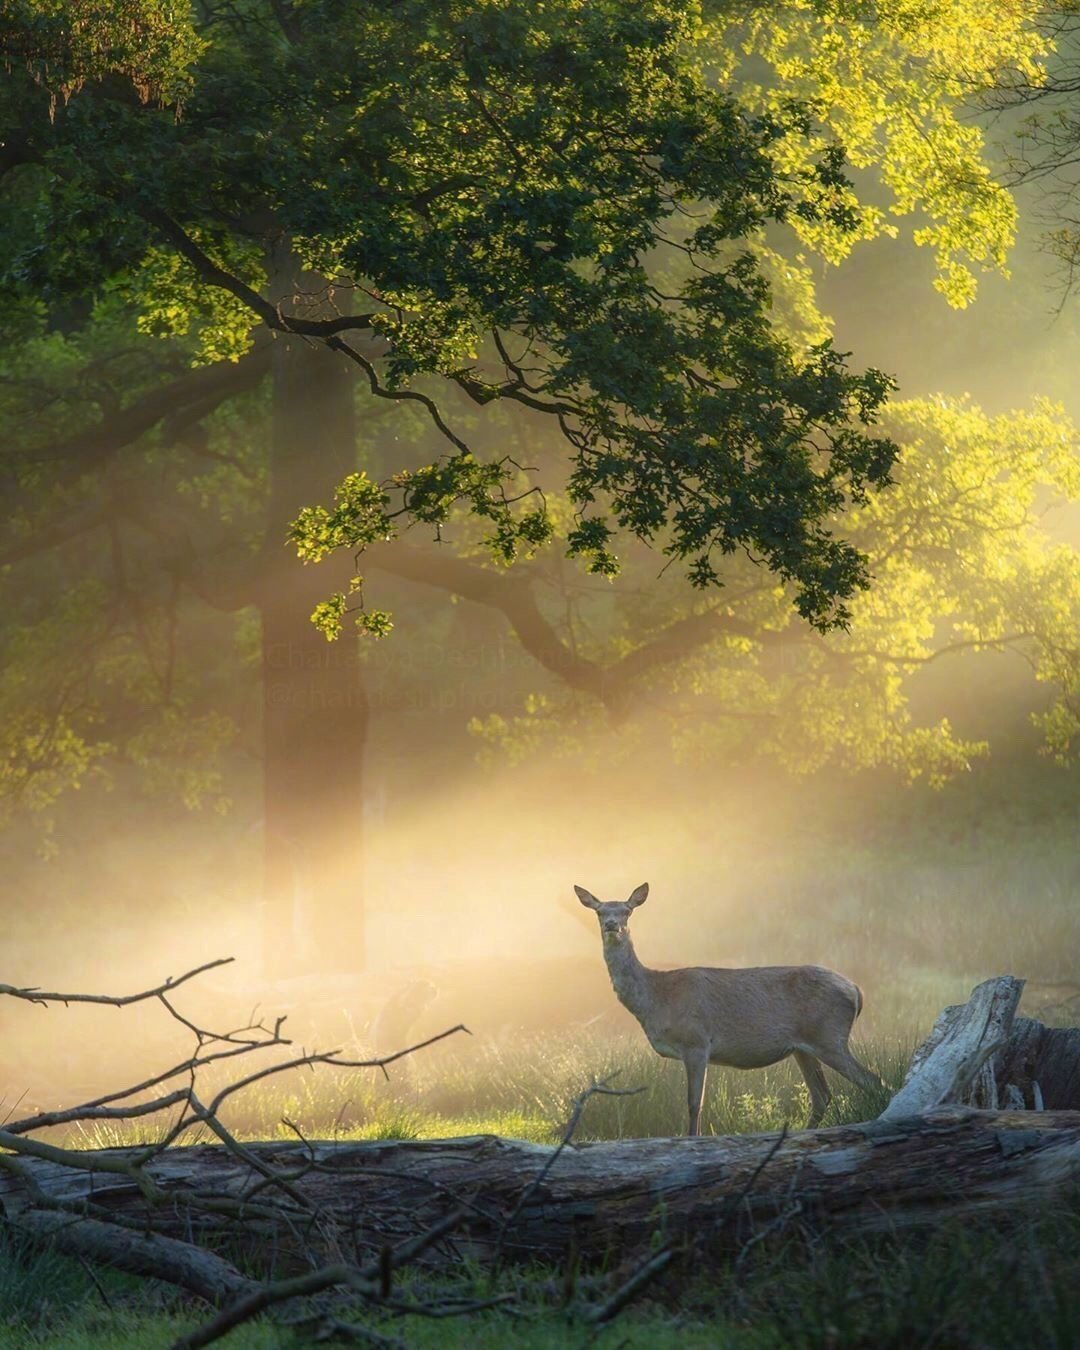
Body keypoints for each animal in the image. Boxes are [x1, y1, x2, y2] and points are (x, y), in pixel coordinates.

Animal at [572, 880, 874, 1134]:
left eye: (627, 911)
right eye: (599, 912)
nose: (612, 925)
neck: (656, 998)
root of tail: (856, 990)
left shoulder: (696, 1041)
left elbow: (694, 1104)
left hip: (829, 1035)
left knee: (869, 1080)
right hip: (803, 1047)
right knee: (822, 1095)